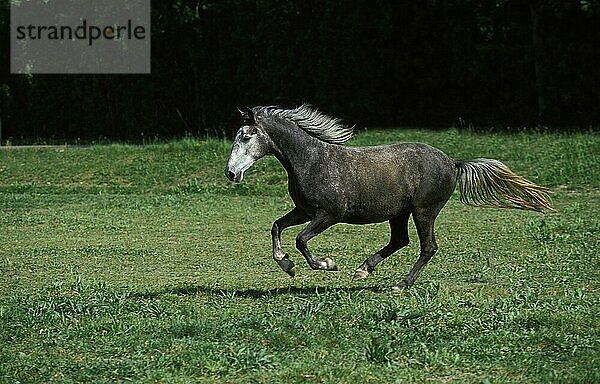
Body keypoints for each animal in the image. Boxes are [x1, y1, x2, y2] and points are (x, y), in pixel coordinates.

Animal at [224, 103, 552, 290]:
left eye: (246, 137)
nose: (230, 173)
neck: (312, 160)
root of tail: (452, 162)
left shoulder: (328, 215)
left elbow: (301, 240)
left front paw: (326, 265)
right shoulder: (304, 211)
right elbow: (277, 227)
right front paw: (287, 265)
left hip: (424, 211)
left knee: (427, 247)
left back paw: (400, 285)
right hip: (400, 213)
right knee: (400, 241)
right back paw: (362, 271)